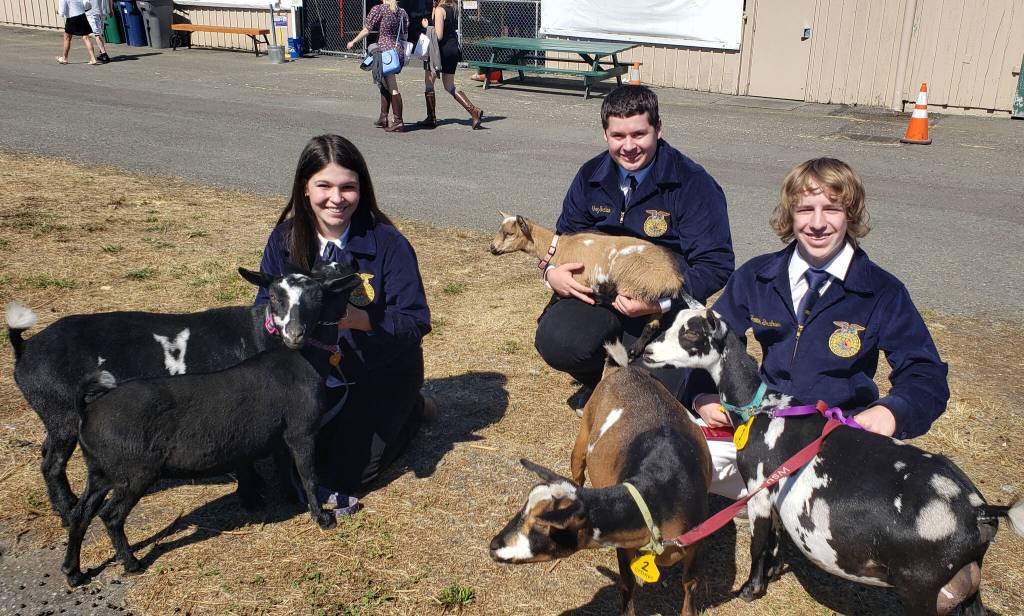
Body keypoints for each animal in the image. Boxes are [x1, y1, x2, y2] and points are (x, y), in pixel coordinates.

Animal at [5, 263, 351, 525]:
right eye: (276, 296)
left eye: (317, 296)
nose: (295, 333)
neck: (257, 334)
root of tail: (24, 350)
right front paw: (252, 497)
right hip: (61, 410)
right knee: (52, 464)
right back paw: (66, 512)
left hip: (54, 414)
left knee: (46, 452)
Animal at [490, 341, 711, 616]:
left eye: (543, 526)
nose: (494, 545)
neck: (659, 496)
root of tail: (623, 369)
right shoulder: (624, 545)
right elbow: (627, 583)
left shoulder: (696, 540)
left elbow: (690, 581)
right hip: (582, 440)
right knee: (578, 473)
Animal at [641, 304, 1024, 616]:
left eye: (691, 332)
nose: (647, 352)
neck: (764, 409)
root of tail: (980, 511)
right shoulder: (775, 491)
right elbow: (774, 539)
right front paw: (770, 577)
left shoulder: (759, 489)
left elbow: (758, 544)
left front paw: (751, 590)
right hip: (964, 584)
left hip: (923, 587)